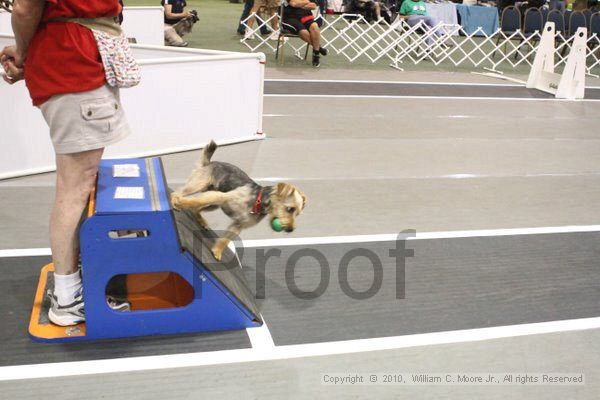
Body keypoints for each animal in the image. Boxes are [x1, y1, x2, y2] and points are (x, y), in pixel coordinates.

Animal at [171, 142, 308, 260]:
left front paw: (217, 251)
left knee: (196, 209)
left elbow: (226, 239)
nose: (290, 229)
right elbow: (194, 201)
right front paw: (180, 203)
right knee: (179, 194)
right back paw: (174, 201)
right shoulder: (221, 196)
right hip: (199, 186)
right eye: (290, 209)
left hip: (214, 205)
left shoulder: (238, 225)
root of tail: (209, 163)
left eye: (297, 214)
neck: (257, 201)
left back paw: (201, 221)